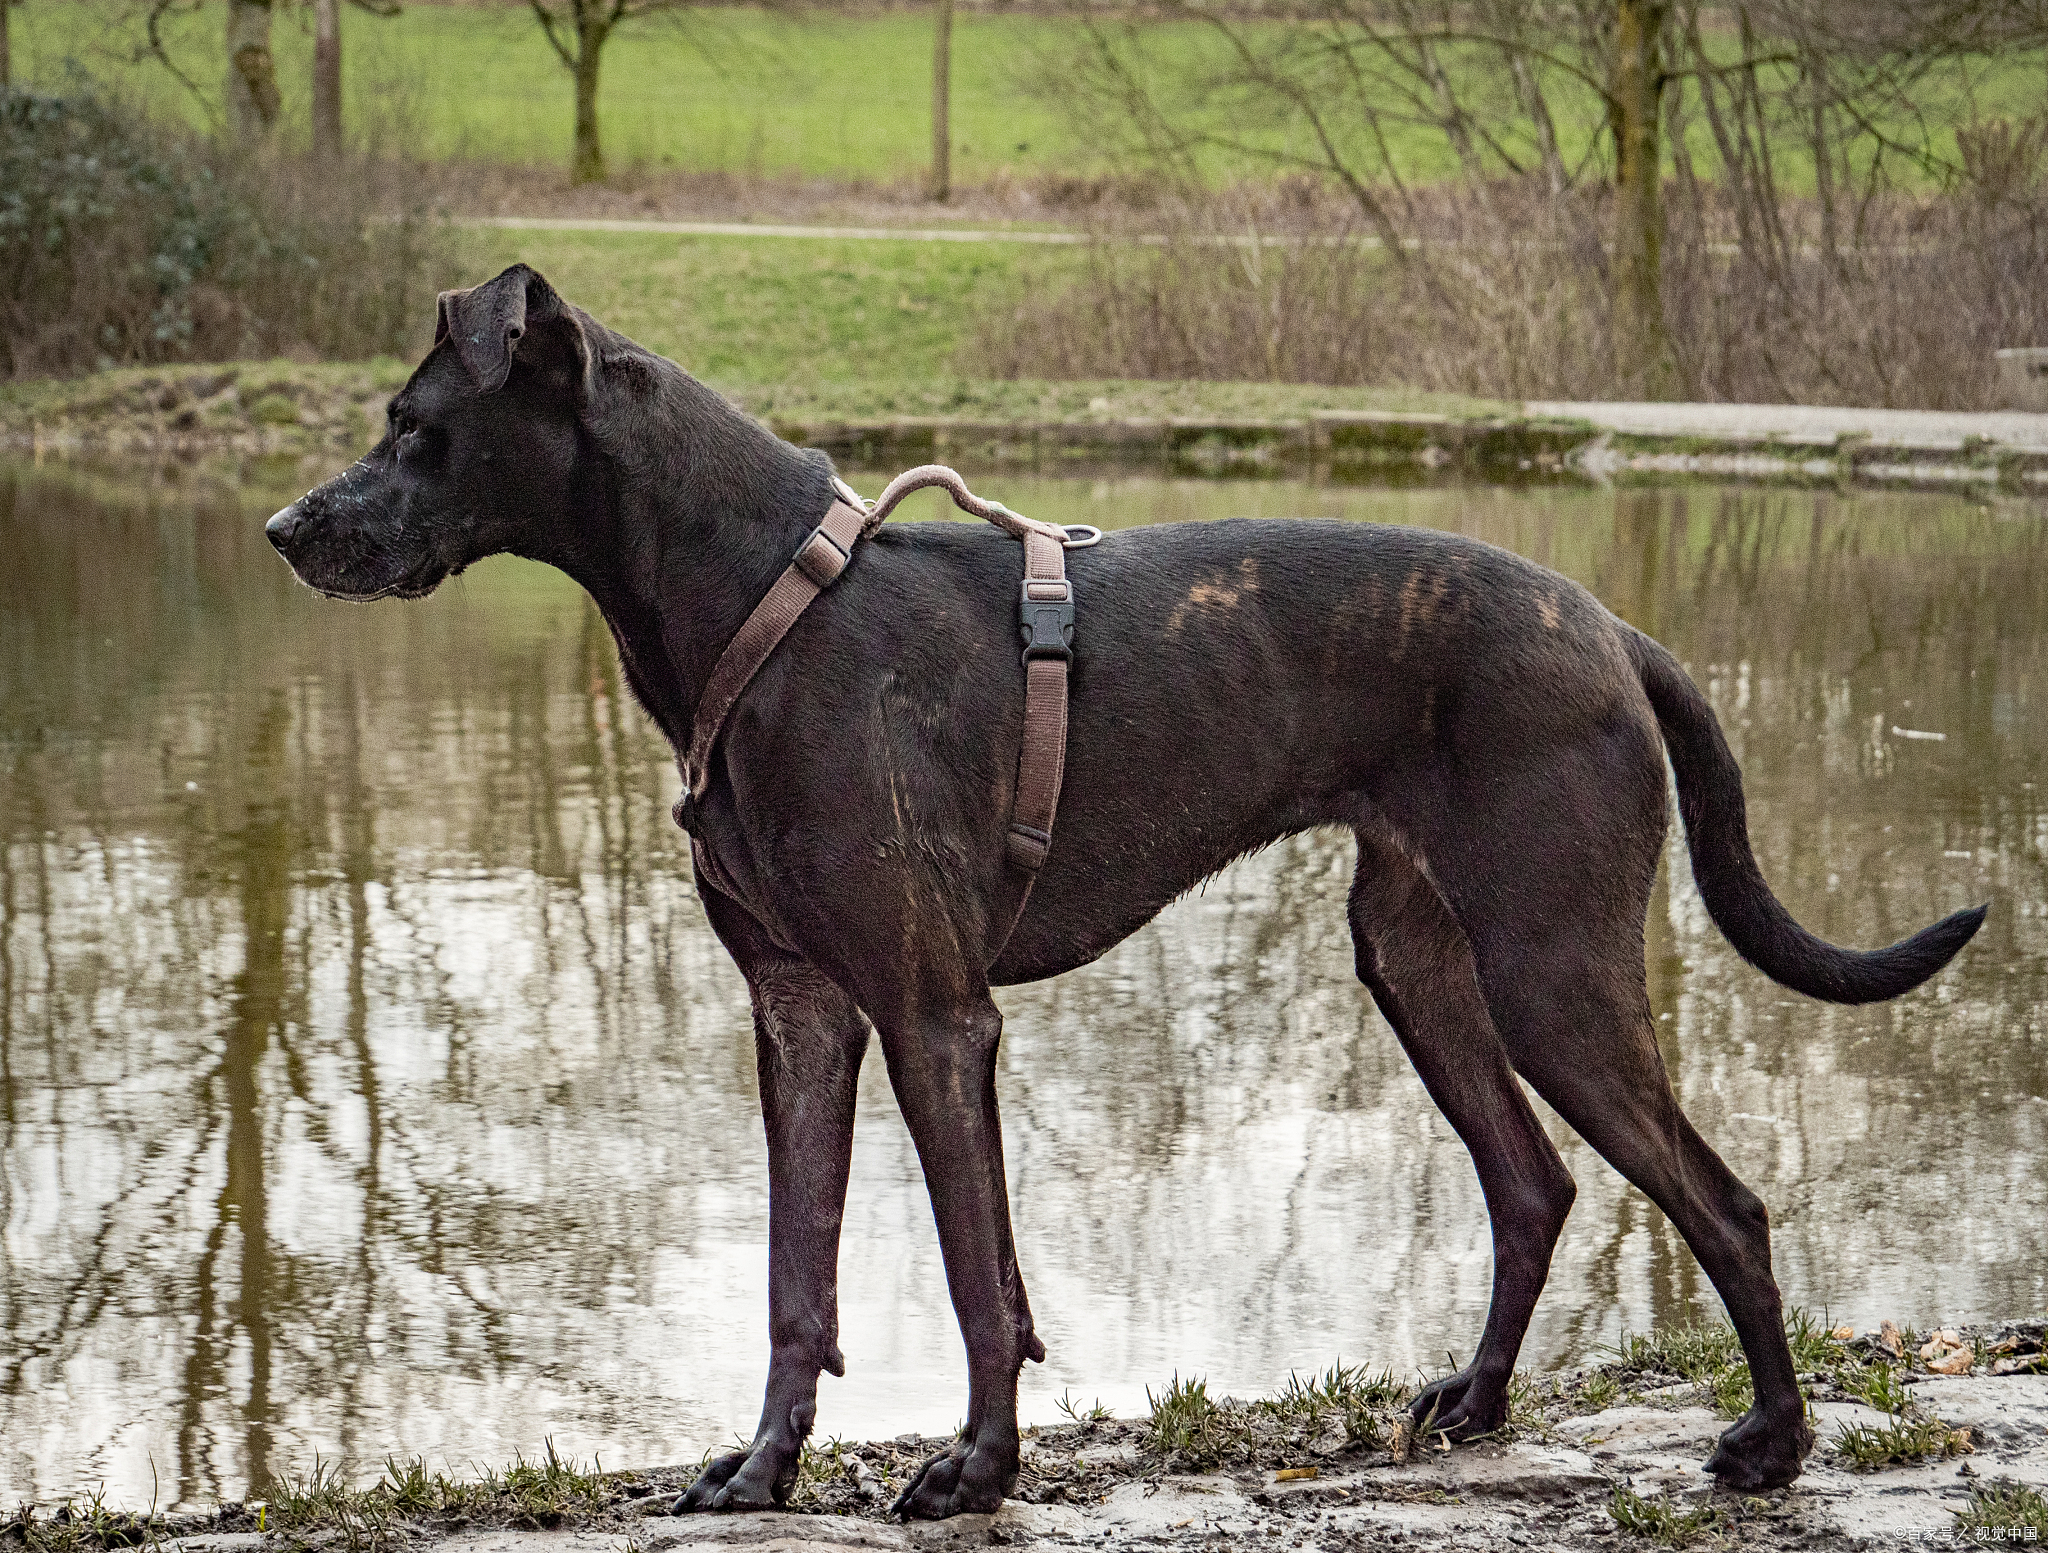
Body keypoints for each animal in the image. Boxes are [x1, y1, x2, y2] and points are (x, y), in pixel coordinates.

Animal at [264, 264, 1974, 1524]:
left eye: (416, 424)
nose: (284, 529)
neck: (764, 603)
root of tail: (1611, 626)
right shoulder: (801, 1016)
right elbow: (795, 1280)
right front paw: (761, 1473)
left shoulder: (935, 1016)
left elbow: (977, 1271)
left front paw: (973, 1470)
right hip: (1417, 961)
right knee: (1535, 1185)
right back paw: (1478, 1405)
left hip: (1552, 969)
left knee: (1721, 1199)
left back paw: (1771, 1447)